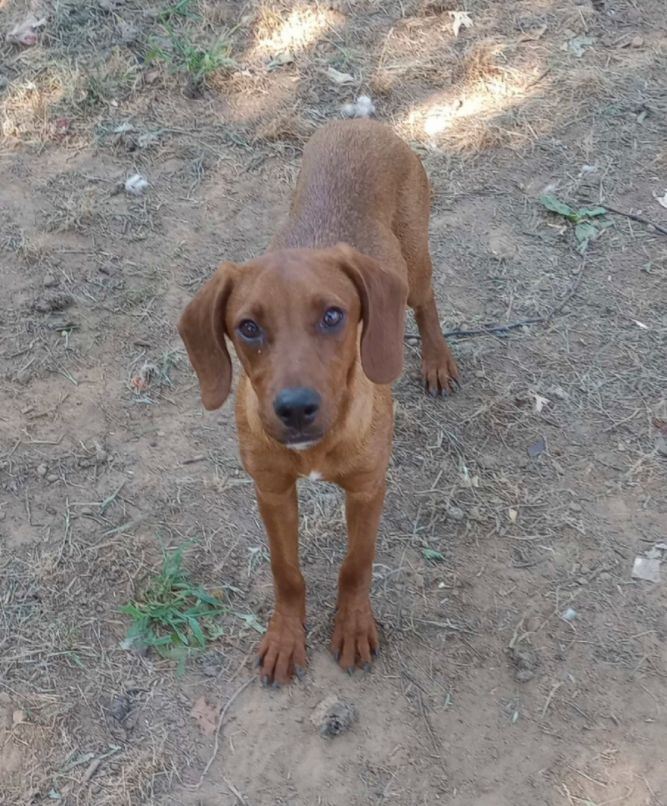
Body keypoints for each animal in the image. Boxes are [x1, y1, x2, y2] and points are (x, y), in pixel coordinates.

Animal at [177, 121, 460, 688]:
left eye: (333, 316)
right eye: (248, 327)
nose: (295, 409)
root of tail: (361, 123)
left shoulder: (369, 489)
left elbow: (357, 563)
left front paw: (352, 627)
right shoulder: (272, 491)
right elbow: (286, 572)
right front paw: (287, 637)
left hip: (415, 263)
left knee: (426, 303)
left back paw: (437, 360)